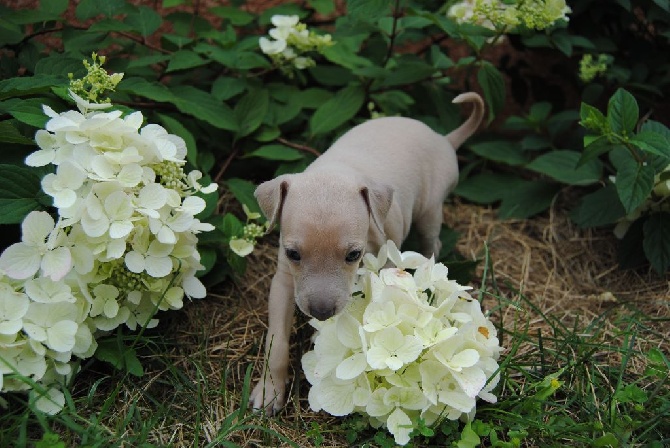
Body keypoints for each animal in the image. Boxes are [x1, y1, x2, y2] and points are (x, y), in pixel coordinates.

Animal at [249, 93, 486, 414]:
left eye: (353, 255)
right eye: (293, 253)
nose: (322, 312)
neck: (335, 171)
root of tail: (443, 139)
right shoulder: (285, 282)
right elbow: (276, 341)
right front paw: (270, 390)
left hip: (430, 208)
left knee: (432, 242)